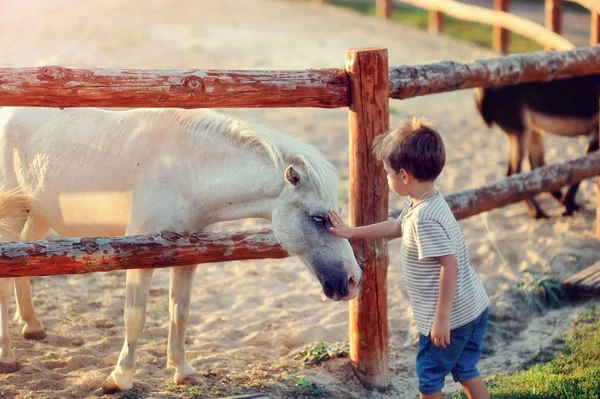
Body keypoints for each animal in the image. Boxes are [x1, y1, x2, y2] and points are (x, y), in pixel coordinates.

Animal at [0, 106, 360, 394]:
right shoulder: (139, 257)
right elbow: (135, 317)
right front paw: (120, 378)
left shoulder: (189, 254)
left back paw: (32, 325)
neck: (186, 171)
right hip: (13, 218)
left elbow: (180, 312)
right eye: (317, 217)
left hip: (37, 216)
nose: (354, 281)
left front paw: (182, 371)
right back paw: (8, 357)